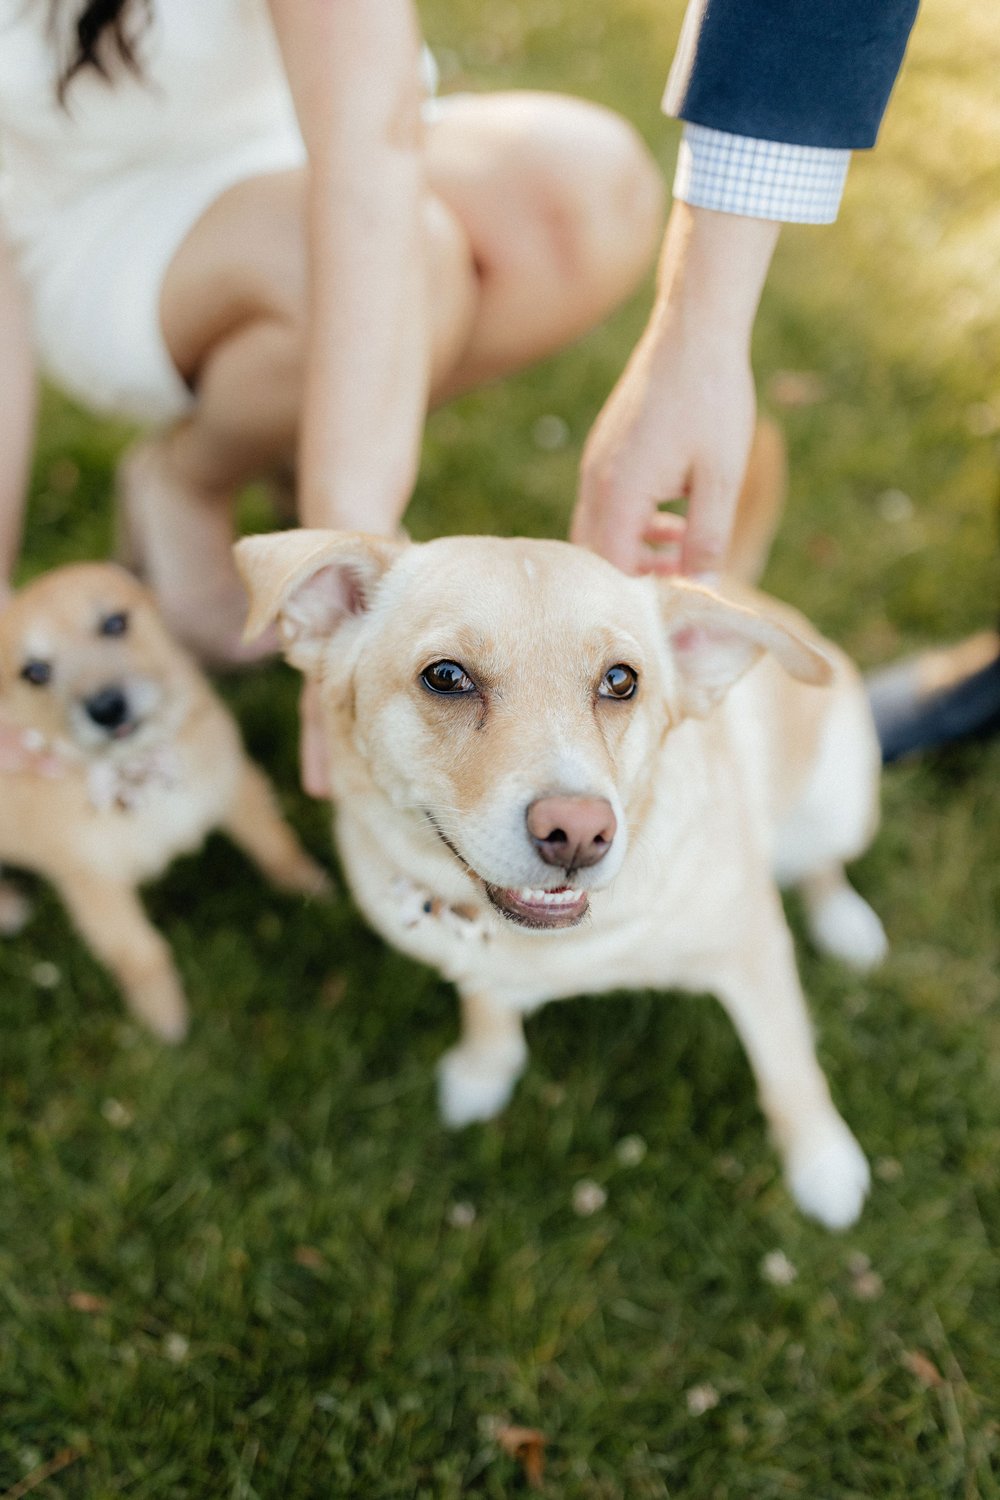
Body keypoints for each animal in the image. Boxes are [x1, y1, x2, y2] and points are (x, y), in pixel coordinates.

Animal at [0, 564, 329, 1044]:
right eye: (35, 672)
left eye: (114, 623)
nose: (107, 708)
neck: (140, 770)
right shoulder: (94, 886)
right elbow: (140, 952)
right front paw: (164, 1016)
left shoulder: (234, 785)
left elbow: (275, 844)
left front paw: (310, 888)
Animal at [238, 435, 887, 1230]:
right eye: (445, 676)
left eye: (621, 681)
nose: (578, 832)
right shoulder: (470, 954)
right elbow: (486, 1004)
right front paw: (484, 1069)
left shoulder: (756, 950)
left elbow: (789, 1068)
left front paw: (823, 1162)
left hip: (839, 799)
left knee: (824, 865)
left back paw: (845, 919)